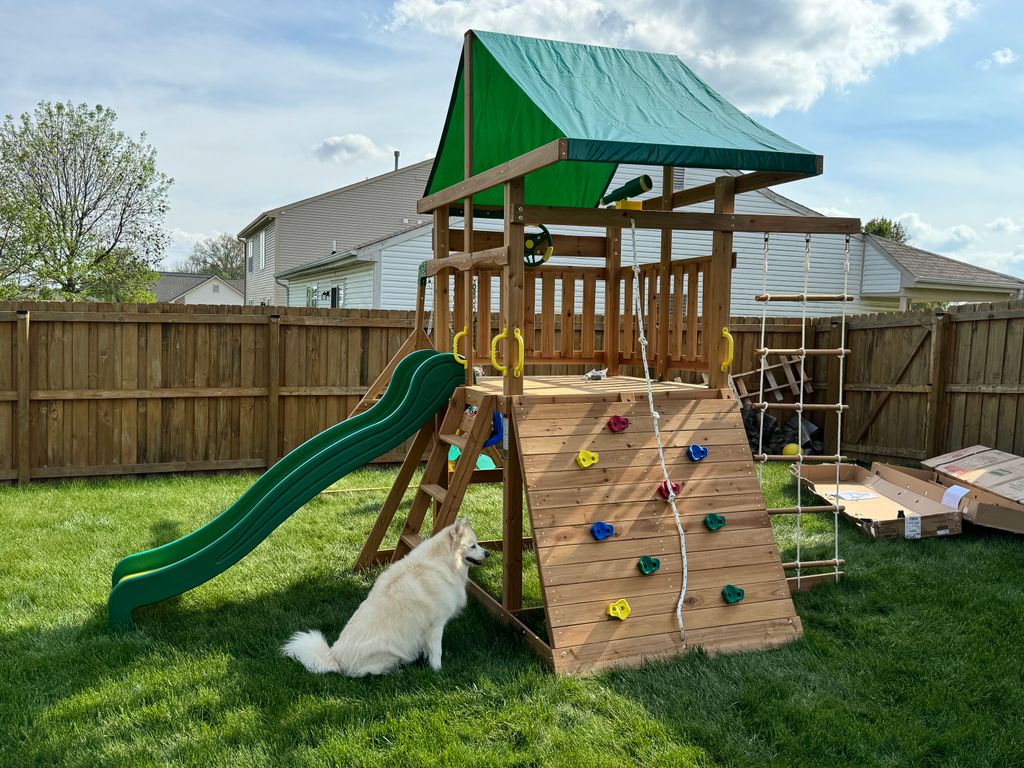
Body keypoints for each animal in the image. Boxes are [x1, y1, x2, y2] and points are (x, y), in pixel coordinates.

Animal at [280, 520, 487, 675]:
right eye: (473, 546)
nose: (488, 553)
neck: (442, 562)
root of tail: (336, 658)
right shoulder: (436, 625)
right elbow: (437, 651)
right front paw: (438, 670)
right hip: (389, 653)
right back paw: (398, 671)